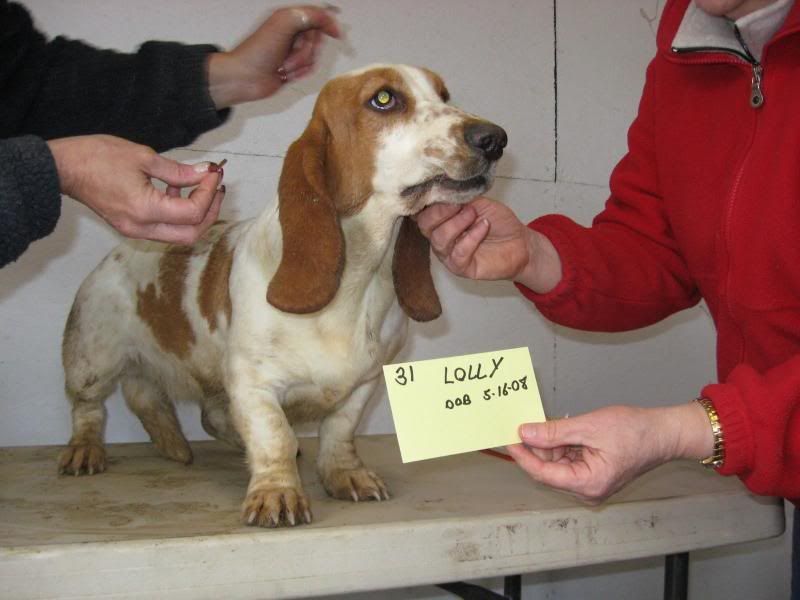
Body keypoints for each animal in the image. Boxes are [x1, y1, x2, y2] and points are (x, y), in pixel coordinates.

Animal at [61, 63, 506, 528]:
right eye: (383, 99)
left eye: (444, 94)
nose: (494, 139)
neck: (358, 276)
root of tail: (122, 248)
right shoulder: (254, 384)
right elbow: (274, 437)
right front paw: (277, 494)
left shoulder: (364, 384)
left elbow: (339, 433)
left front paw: (346, 476)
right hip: (91, 362)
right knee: (90, 409)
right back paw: (85, 451)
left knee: (179, 407)